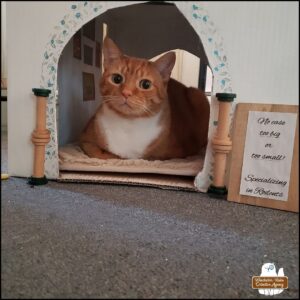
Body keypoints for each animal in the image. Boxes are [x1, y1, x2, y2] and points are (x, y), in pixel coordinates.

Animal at [79, 37, 211, 161]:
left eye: (146, 84)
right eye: (117, 79)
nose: (126, 93)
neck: (128, 123)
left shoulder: (174, 154)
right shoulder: (85, 140)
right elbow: (102, 154)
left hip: (198, 95)